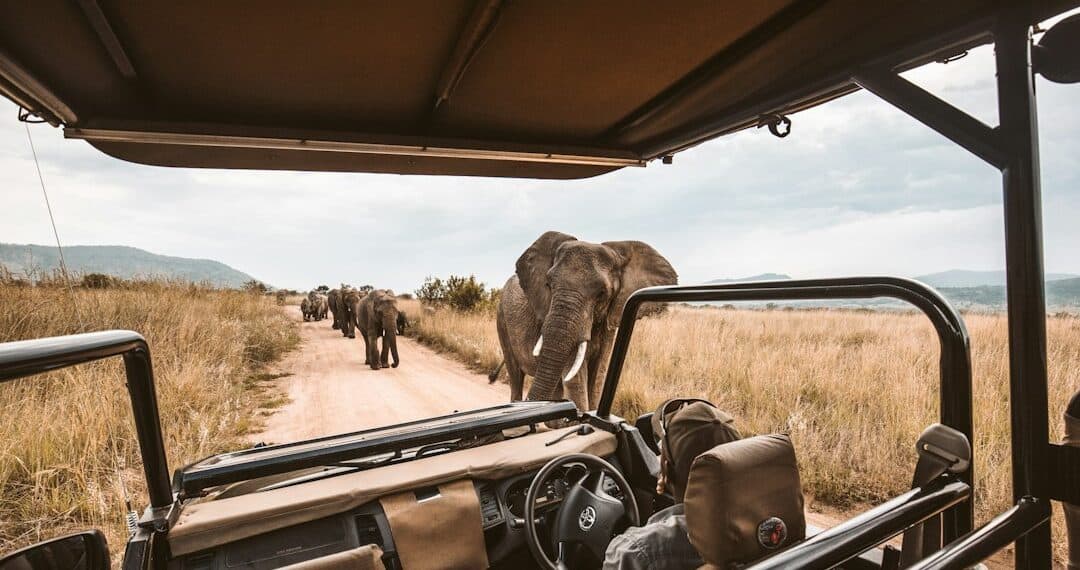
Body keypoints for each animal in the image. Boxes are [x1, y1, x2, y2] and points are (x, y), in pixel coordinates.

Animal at [494, 231, 677, 412]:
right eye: (549, 284)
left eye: (602, 293)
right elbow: (576, 380)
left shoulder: (609, 321)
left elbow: (598, 377)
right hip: (502, 319)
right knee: (516, 376)